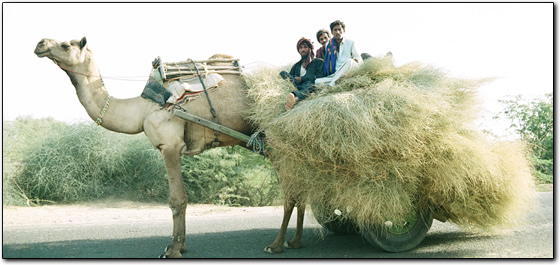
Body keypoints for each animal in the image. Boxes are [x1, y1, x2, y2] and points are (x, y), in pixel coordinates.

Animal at [34, 36, 306, 256]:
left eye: (65, 44)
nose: (40, 44)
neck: (143, 108)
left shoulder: (170, 145)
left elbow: (177, 199)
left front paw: (173, 249)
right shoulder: (173, 147)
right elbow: (180, 198)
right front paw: (180, 245)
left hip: (276, 144)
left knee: (291, 190)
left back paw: (276, 245)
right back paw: (294, 241)